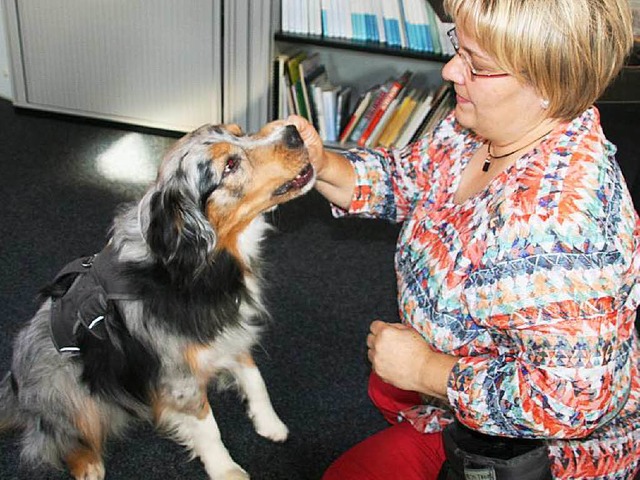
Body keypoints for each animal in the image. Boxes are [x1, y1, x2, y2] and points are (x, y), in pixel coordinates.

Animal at [0, 121, 316, 480]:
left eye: (239, 131)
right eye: (229, 166)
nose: (293, 131)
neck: (199, 266)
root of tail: (15, 391)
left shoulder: (228, 331)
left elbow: (255, 379)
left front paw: (270, 423)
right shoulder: (179, 376)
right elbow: (207, 427)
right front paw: (225, 469)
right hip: (65, 387)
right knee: (55, 438)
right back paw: (87, 463)